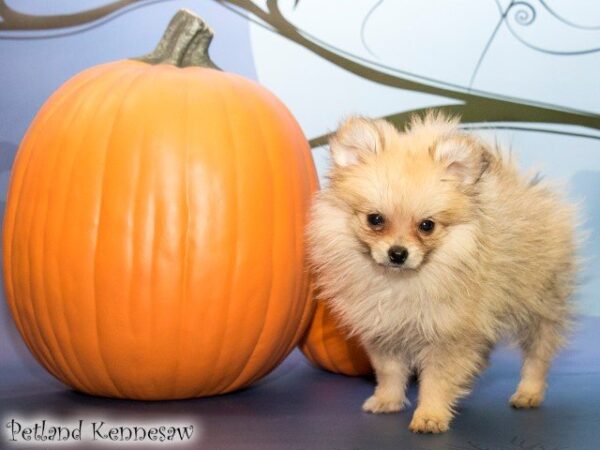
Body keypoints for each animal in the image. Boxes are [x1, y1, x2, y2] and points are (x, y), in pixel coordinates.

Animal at [308, 111, 580, 432]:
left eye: (427, 225)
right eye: (375, 220)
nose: (398, 253)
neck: (400, 282)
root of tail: (525, 189)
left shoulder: (448, 335)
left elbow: (436, 380)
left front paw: (430, 415)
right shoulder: (384, 332)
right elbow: (389, 372)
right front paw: (387, 400)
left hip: (539, 304)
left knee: (538, 353)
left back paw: (529, 392)